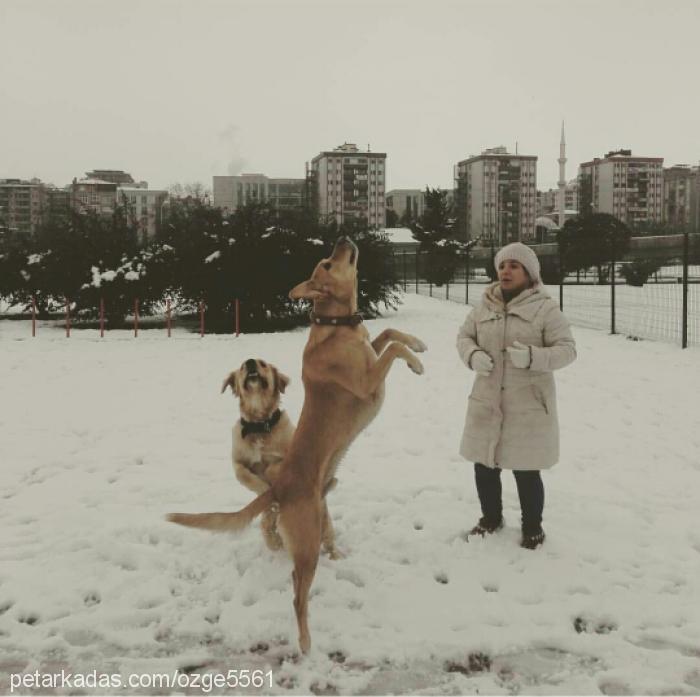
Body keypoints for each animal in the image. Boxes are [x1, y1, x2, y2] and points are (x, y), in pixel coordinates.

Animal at [168, 238, 426, 652]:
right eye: (326, 262)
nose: (342, 238)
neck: (336, 327)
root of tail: (278, 489)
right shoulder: (368, 380)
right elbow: (390, 351)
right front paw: (416, 361)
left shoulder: (371, 350)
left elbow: (387, 333)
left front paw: (416, 341)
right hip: (305, 544)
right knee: (296, 593)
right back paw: (305, 642)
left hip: (319, 524)